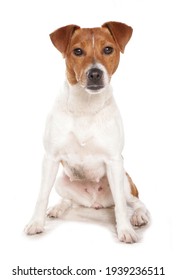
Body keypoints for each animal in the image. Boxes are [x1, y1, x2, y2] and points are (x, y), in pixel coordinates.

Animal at [25, 21, 149, 243]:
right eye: (77, 51)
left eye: (108, 49)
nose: (95, 74)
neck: (86, 106)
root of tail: (95, 202)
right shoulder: (50, 158)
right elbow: (41, 196)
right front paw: (36, 223)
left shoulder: (114, 161)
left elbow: (120, 205)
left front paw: (125, 230)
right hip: (61, 181)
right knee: (69, 200)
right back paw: (58, 208)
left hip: (124, 180)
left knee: (134, 202)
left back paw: (138, 216)